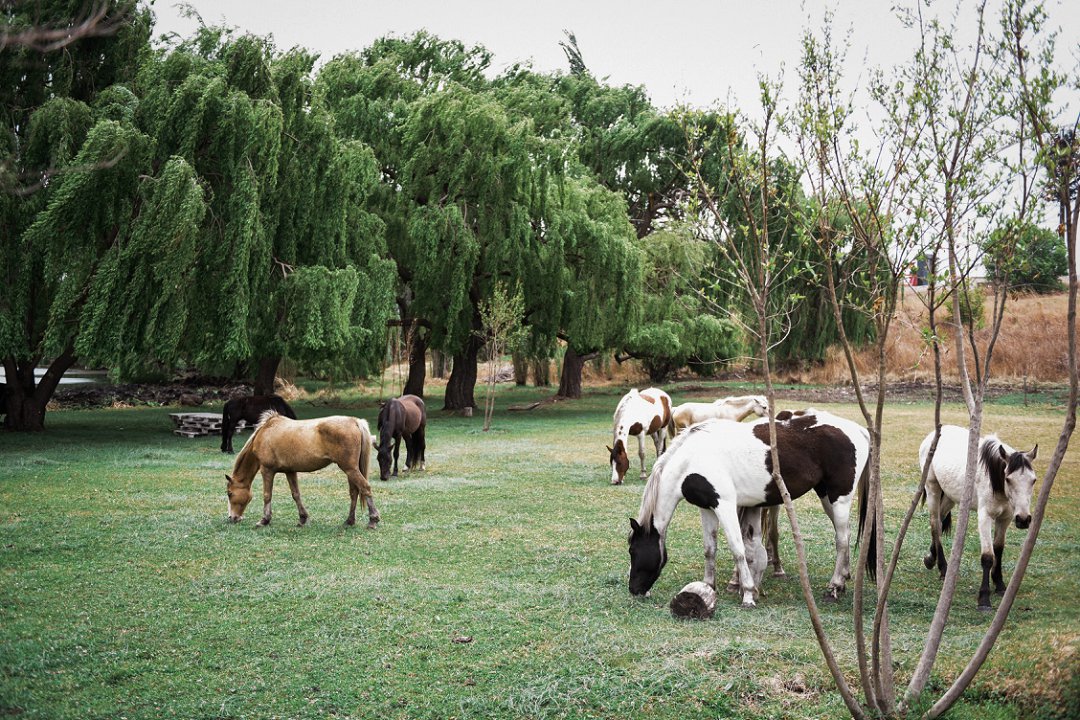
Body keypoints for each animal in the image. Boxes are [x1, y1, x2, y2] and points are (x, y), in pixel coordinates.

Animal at [223, 410, 380, 528]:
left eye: (230, 494)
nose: (232, 517)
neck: (266, 432)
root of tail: (355, 421)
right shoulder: (290, 471)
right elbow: (296, 494)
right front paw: (303, 518)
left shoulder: (267, 470)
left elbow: (267, 495)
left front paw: (264, 520)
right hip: (350, 470)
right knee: (354, 492)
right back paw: (349, 521)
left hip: (350, 469)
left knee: (365, 488)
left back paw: (373, 520)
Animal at [630, 408, 868, 604]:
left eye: (632, 550)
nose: (634, 589)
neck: (692, 459)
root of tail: (860, 430)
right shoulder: (707, 508)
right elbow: (710, 549)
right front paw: (708, 585)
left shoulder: (724, 505)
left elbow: (738, 549)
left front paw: (747, 593)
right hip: (826, 496)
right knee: (845, 534)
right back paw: (843, 580)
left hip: (840, 498)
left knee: (841, 540)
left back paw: (834, 587)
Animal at [920, 425, 1036, 613]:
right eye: (1008, 479)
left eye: (1033, 480)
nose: (1024, 519)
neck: (994, 480)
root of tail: (934, 434)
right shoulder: (985, 517)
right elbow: (988, 556)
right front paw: (984, 599)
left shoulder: (1005, 518)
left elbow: (999, 549)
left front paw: (1000, 585)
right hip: (932, 489)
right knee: (935, 524)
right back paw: (943, 568)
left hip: (951, 496)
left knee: (940, 519)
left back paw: (931, 558)